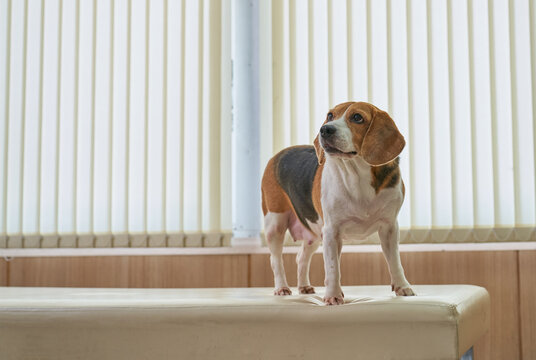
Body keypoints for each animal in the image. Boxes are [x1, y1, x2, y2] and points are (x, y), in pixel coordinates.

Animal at [260, 100, 414, 304]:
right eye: (330, 115)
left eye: (357, 117)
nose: (325, 129)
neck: (357, 175)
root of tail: (278, 154)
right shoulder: (332, 231)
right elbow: (333, 268)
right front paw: (333, 295)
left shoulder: (389, 228)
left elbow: (395, 262)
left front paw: (403, 286)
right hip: (275, 224)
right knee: (275, 260)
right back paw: (281, 287)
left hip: (314, 234)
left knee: (301, 258)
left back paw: (304, 286)